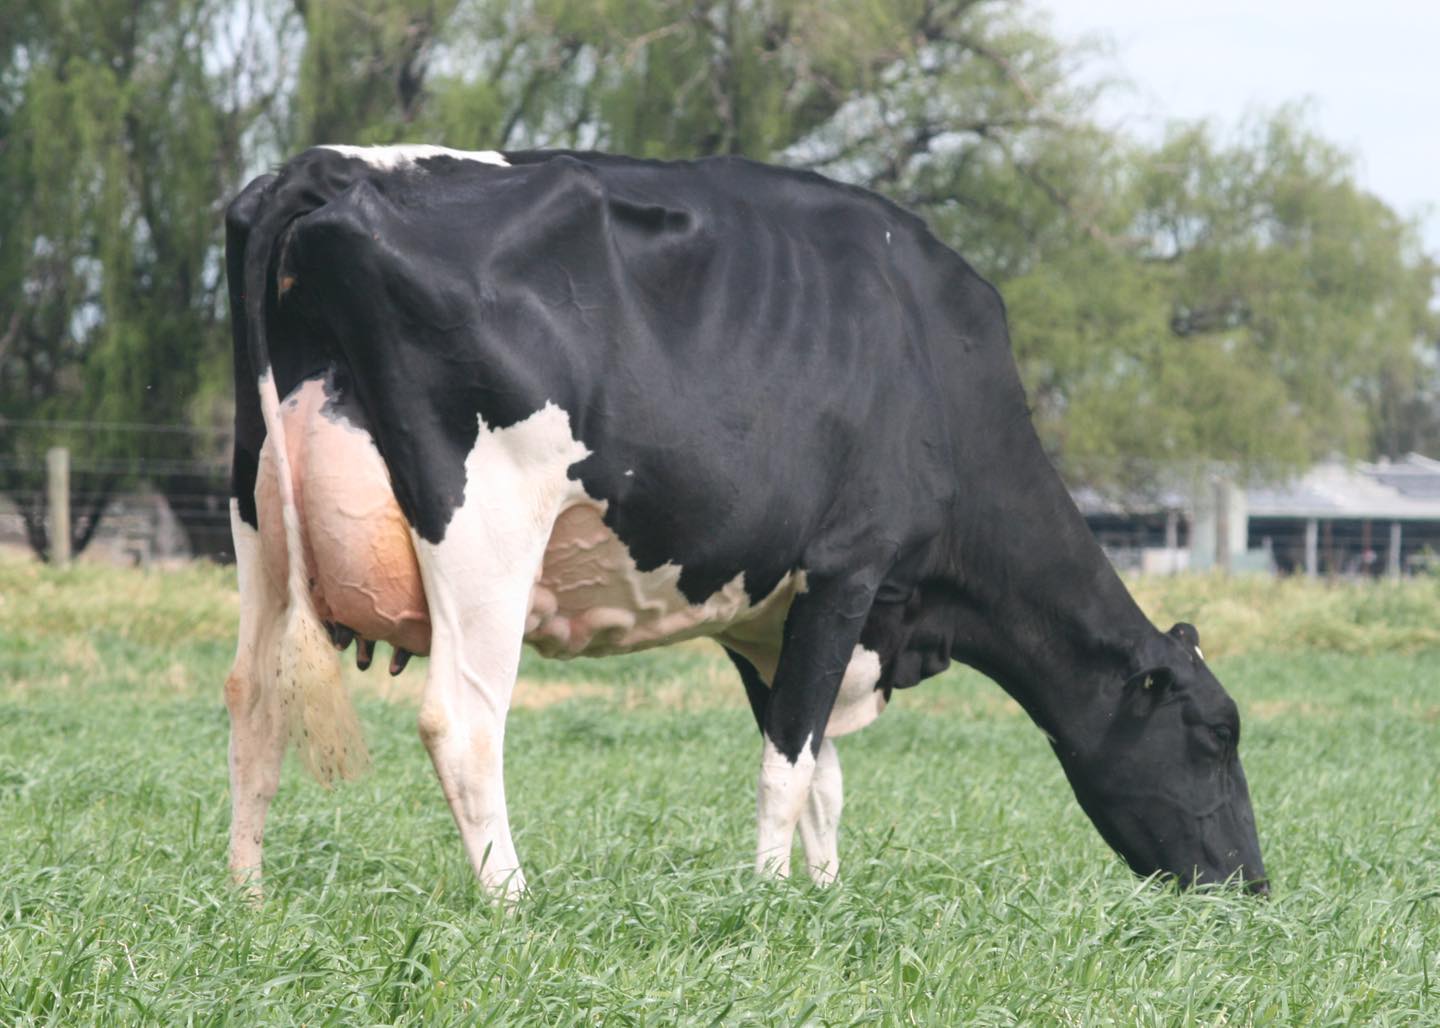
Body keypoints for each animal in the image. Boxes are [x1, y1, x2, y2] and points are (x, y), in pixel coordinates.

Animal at [223, 144, 1267, 901]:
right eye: (1217, 735)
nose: (1253, 886)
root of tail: (338, 167)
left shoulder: (770, 614)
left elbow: (821, 772)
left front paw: (825, 893)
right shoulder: (847, 571)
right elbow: (789, 765)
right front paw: (769, 903)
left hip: (258, 520)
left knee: (255, 699)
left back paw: (249, 897)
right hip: (485, 529)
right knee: (463, 721)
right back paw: (513, 901)